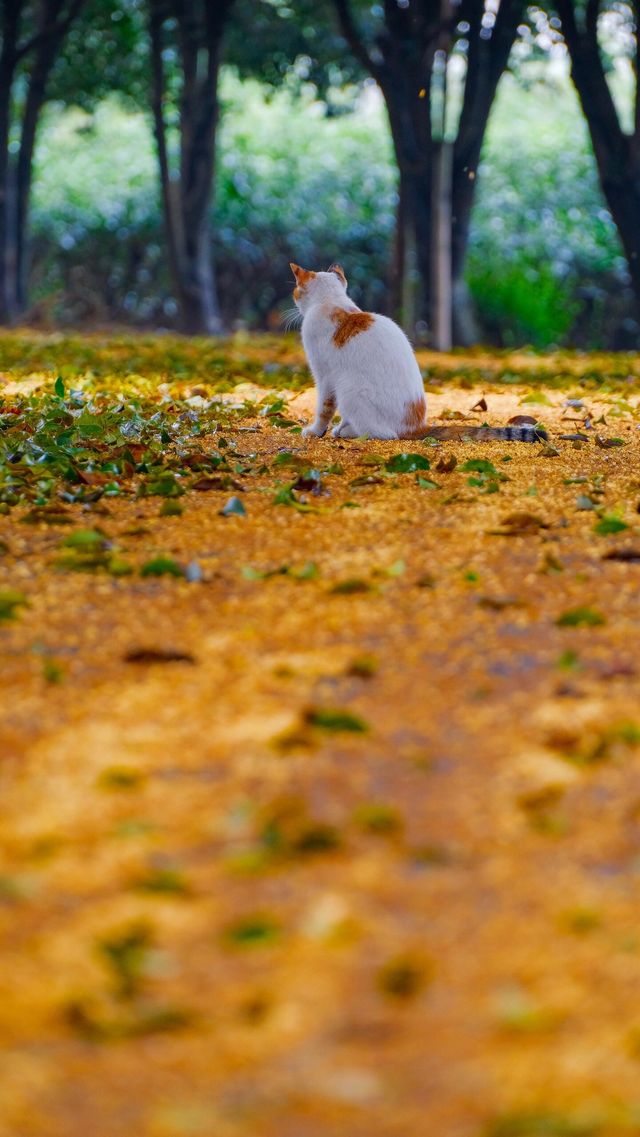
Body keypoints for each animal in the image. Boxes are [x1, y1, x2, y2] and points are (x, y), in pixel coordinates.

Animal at [291, 264, 545, 443]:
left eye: (295, 290)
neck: (332, 302)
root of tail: (416, 425)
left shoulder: (325, 377)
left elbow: (324, 409)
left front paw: (315, 431)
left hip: (350, 388)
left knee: (384, 433)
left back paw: (349, 432)